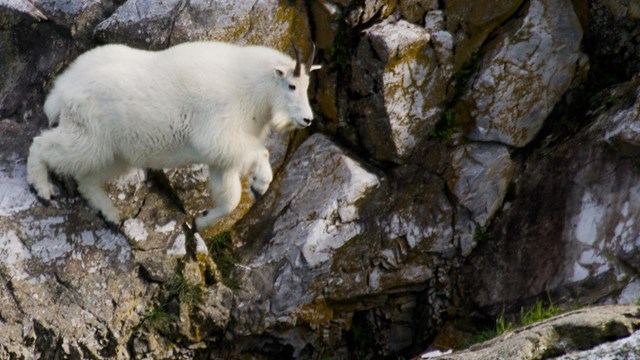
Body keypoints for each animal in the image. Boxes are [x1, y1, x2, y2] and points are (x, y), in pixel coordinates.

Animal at [27, 40, 322, 231]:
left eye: (307, 84)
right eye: (291, 85)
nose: (307, 119)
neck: (252, 90)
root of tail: (63, 88)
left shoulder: (221, 159)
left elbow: (230, 199)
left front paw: (201, 220)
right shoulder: (219, 135)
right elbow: (259, 152)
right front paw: (261, 184)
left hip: (115, 152)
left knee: (87, 178)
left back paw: (109, 213)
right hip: (88, 134)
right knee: (42, 144)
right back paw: (42, 188)